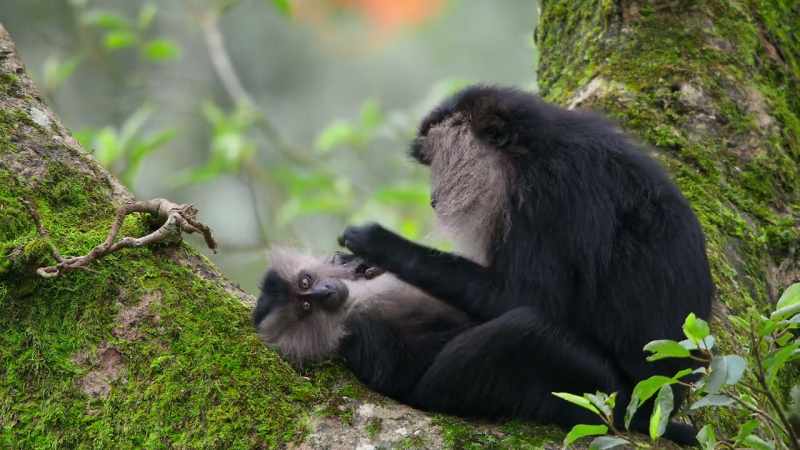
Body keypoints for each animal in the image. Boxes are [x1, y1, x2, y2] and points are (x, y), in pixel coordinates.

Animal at [253, 248, 696, 443]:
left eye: (306, 283)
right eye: (305, 307)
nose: (324, 292)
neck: (351, 305)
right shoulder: (364, 337)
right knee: (524, 332)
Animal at [337, 85, 713, 445]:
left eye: (439, 162)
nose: (433, 199)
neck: (531, 149)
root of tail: (656, 411)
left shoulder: (552, 192)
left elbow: (524, 297)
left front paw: (377, 243)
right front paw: (360, 262)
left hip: (605, 395)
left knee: (525, 332)